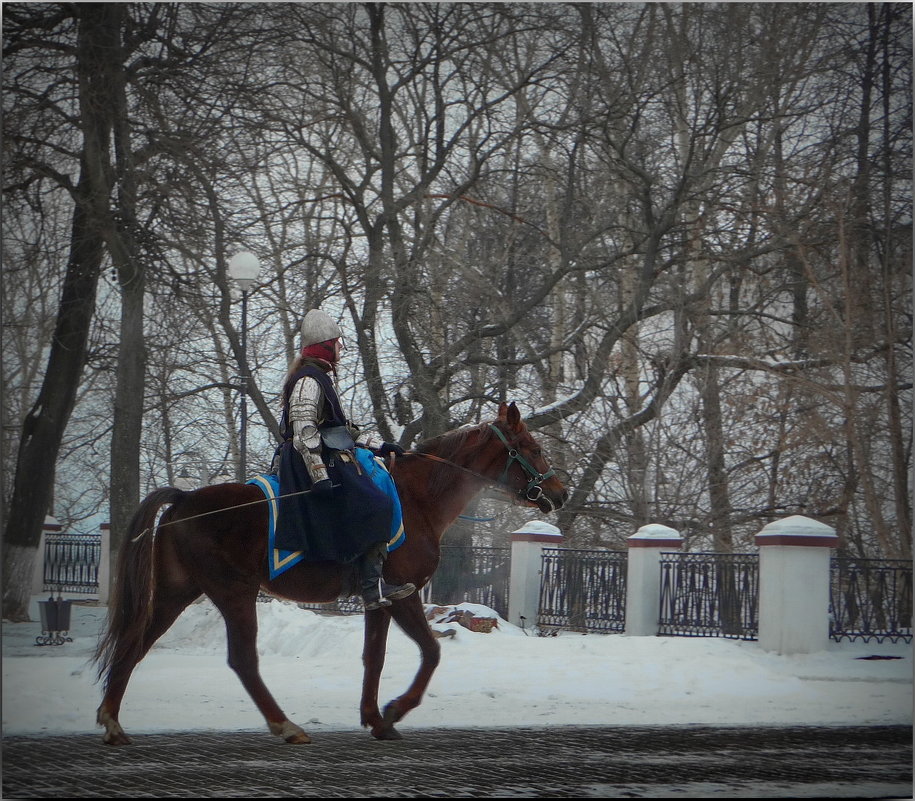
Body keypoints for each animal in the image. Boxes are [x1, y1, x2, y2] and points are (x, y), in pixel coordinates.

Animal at [93, 400, 564, 744]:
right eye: (535, 448)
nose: (560, 492)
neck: (417, 500)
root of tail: (184, 499)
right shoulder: (405, 593)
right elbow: (431, 652)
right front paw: (394, 710)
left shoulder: (380, 600)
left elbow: (374, 657)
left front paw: (375, 718)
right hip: (234, 592)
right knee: (242, 660)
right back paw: (285, 725)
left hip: (177, 592)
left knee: (136, 644)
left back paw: (112, 721)